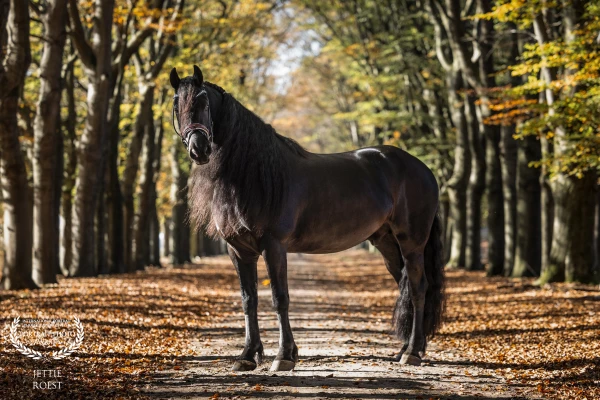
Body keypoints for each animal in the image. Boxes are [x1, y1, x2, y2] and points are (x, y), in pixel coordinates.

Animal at [171, 65, 442, 372]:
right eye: (176, 105)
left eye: (204, 101)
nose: (199, 149)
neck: (254, 174)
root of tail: (423, 169)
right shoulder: (238, 250)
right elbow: (249, 300)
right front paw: (247, 355)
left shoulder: (274, 246)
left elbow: (280, 298)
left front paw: (284, 356)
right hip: (387, 243)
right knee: (405, 285)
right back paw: (405, 349)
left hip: (412, 242)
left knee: (418, 288)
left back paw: (413, 353)